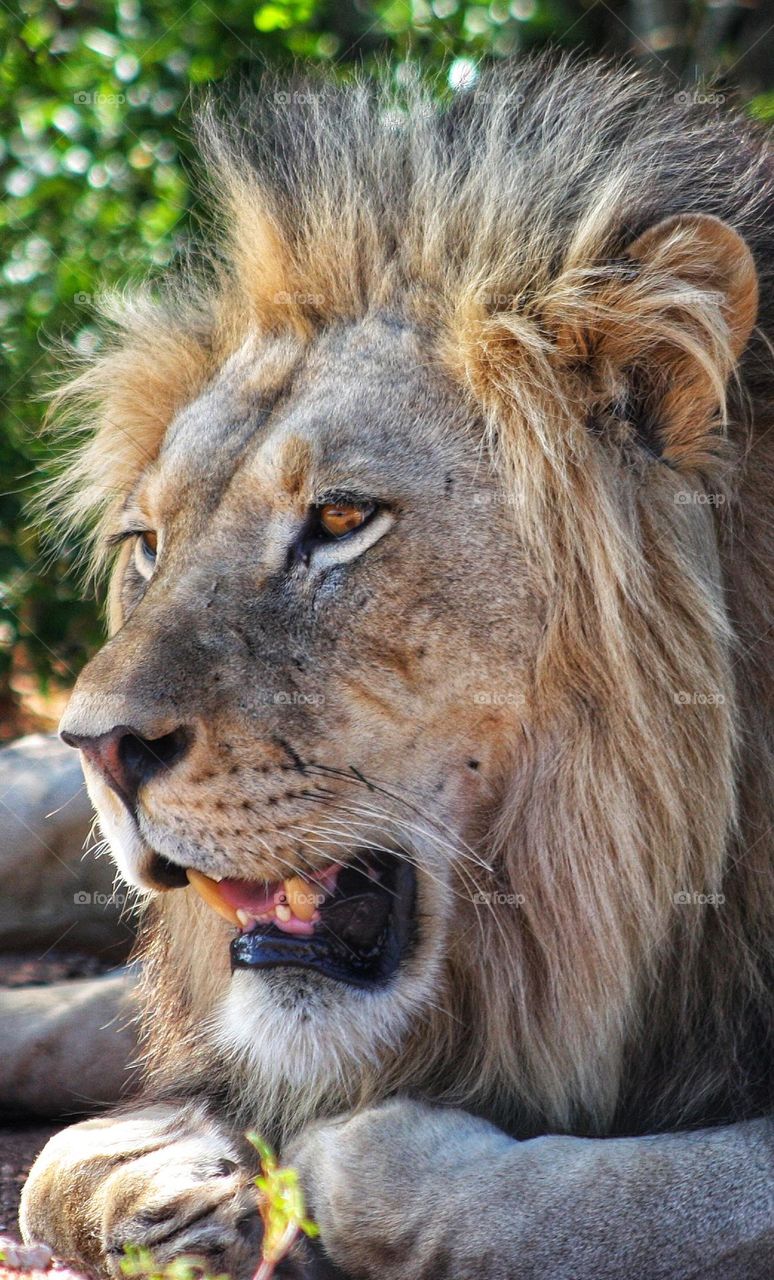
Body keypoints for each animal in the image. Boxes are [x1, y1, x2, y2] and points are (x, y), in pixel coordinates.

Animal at [18, 57, 772, 1280]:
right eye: (148, 546)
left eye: (339, 519)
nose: (98, 747)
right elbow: (60, 1164)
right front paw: (163, 1174)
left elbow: (645, 1195)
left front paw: (313, 1168)